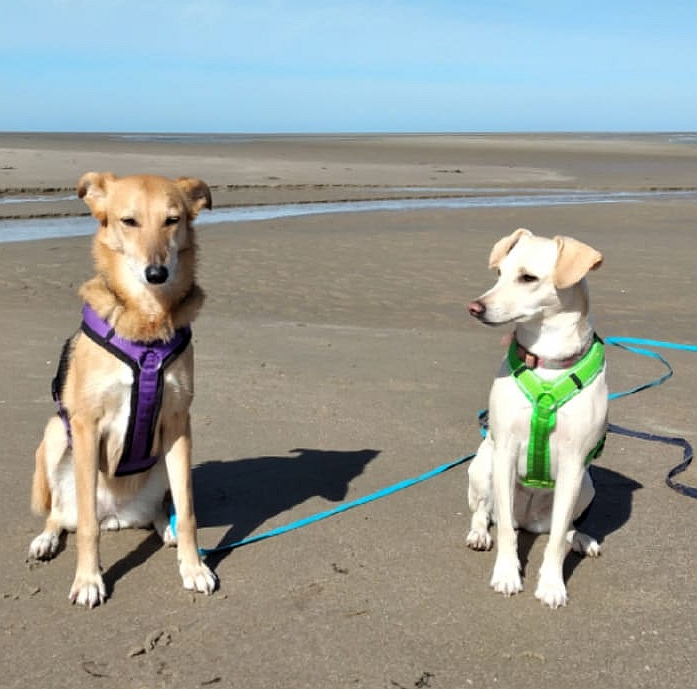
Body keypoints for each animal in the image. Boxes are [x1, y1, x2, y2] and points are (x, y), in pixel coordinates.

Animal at [28, 172, 216, 607]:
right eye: (128, 221)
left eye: (172, 220)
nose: (156, 273)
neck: (145, 326)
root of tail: (115, 515)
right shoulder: (85, 425)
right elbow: (87, 529)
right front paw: (88, 580)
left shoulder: (178, 421)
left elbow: (188, 509)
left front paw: (193, 567)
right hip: (54, 435)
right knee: (63, 515)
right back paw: (46, 539)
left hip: (162, 461)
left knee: (163, 509)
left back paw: (166, 529)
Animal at [466, 228, 607, 608]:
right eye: (499, 273)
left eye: (528, 277)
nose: (475, 307)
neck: (547, 362)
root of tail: (529, 520)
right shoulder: (504, 451)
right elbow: (505, 532)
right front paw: (506, 575)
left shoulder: (574, 463)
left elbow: (556, 540)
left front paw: (552, 585)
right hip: (482, 466)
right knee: (485, 513)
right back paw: (479, 534)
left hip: (586, 485)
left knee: (565, 526)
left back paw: (583, 539)